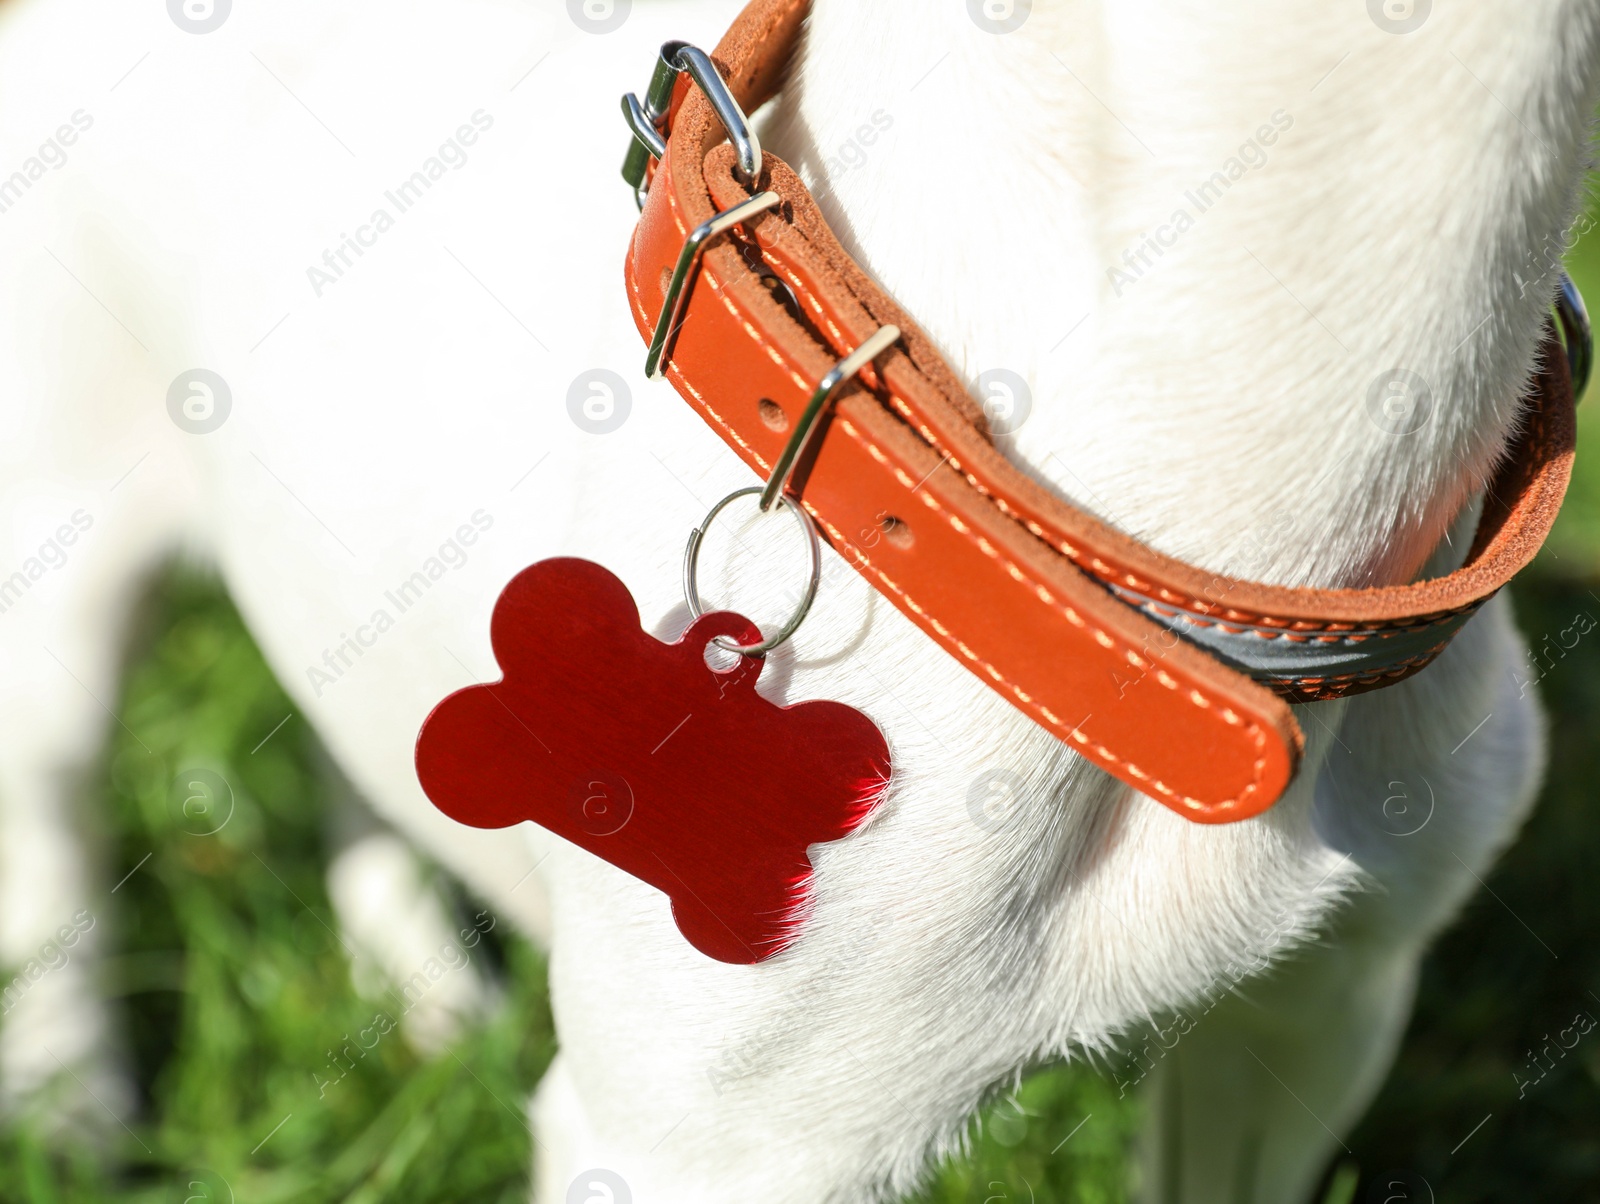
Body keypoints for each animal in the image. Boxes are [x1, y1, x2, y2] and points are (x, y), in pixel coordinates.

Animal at [0, 0, 1593, 1197]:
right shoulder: (701, 1151)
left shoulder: (1316, 1018)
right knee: (53, 834)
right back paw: (68, 1107)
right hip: (58, 589)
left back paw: (418, 989)